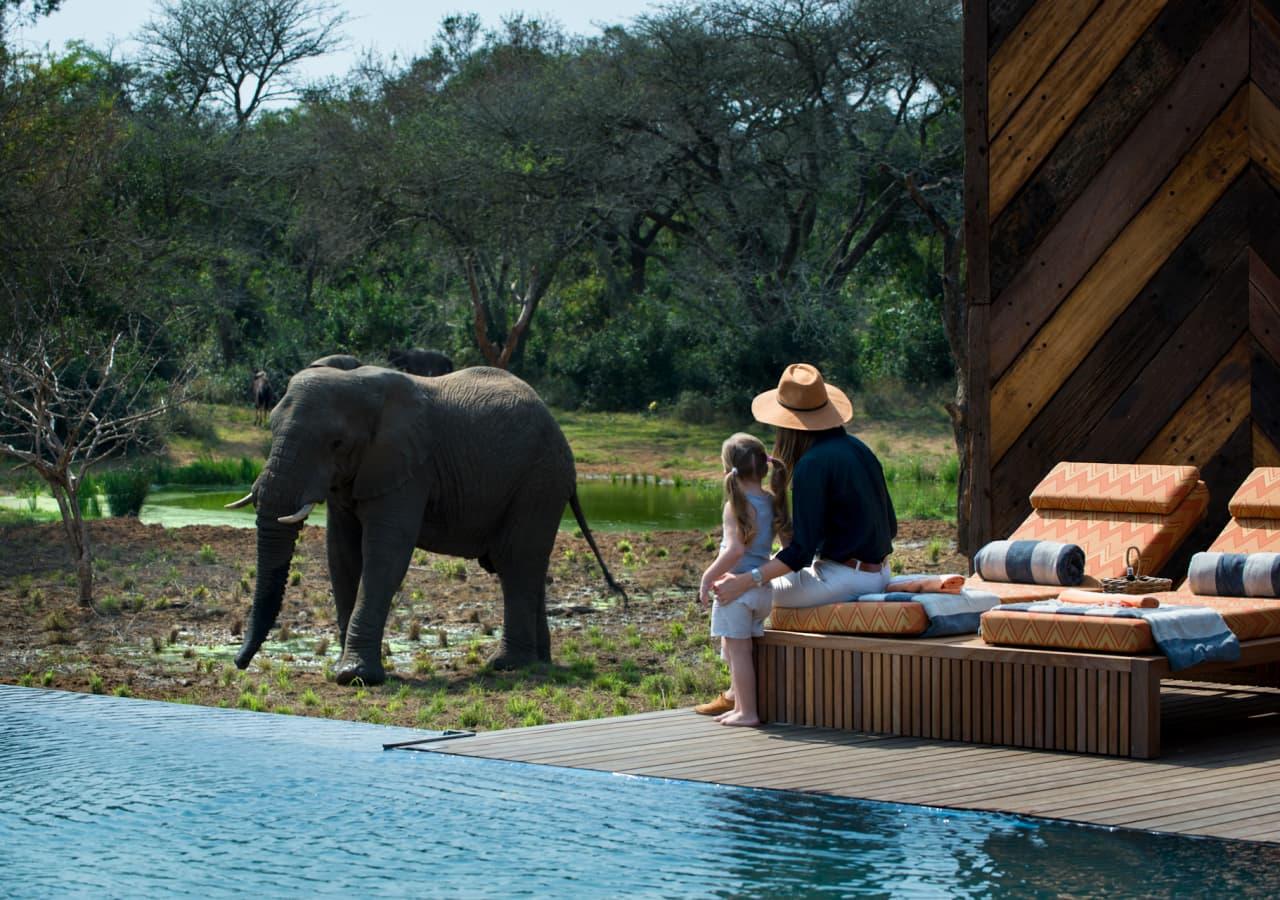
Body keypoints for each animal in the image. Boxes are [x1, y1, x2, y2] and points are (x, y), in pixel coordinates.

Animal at [226, 364, 624, 686]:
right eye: (272, 427)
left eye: (336, 442)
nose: (239, 664)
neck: (358, 383)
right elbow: (342, 555)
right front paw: (342, 668)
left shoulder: (408, 468)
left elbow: (384, 555)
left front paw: (355, 677)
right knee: (528, 566)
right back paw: (538, 663)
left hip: (539, 481)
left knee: (516, 562)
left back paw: (508, 666)